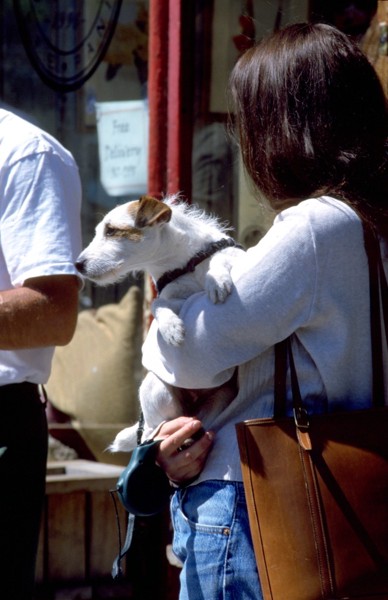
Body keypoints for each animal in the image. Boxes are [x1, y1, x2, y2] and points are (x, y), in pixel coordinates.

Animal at [76, 195, 244, 452]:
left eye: (111, 230)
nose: (78, 264)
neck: (185, 264)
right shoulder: (171, 296)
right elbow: (157, 305)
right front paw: (171, 328)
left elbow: (220, 259)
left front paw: (216, 279)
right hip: (155, 389)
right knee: (154, 430)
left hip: (221, 398)